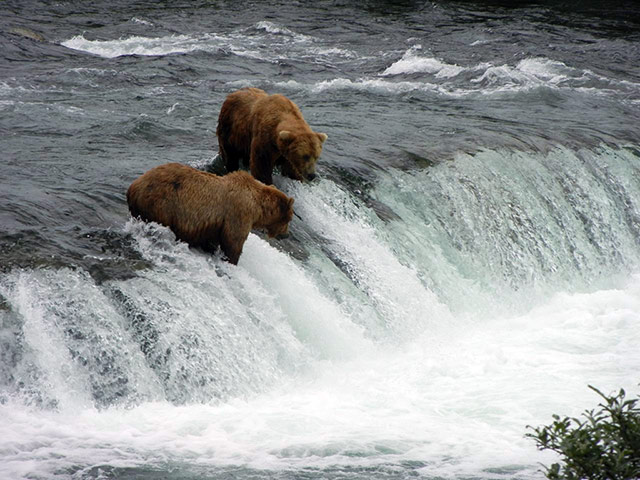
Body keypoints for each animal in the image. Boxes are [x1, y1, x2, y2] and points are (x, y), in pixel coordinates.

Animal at [126, 162, 294, 265]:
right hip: (161, 204)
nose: (286, 235)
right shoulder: (238, 213)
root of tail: (133, 186)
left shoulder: (214, 224)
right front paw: (232, 260)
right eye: (288, 219)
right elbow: (233, 242)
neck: (258, 206)